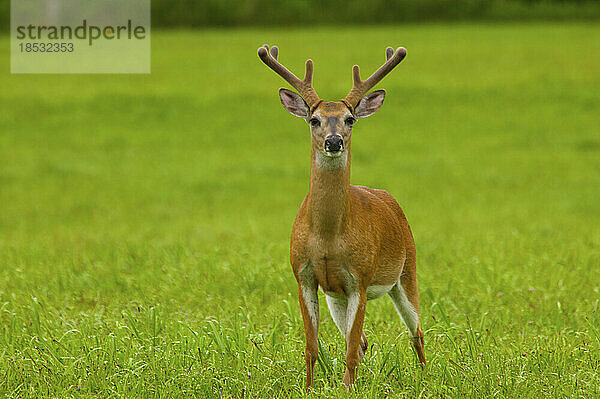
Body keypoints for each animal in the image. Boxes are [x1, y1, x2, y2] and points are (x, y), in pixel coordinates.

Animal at [258, 44, 426, 390]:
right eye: (314, 120)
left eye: (350, 119)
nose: (333, 141)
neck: (327, 237)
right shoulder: (304, 277)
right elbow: (312, 346)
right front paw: (309, 388)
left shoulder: (359, 279)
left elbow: (348, 348)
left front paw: (348, 388)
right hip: (336, 297)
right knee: (363, 341)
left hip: (407, 271)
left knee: (416, 332)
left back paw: (427, 379)